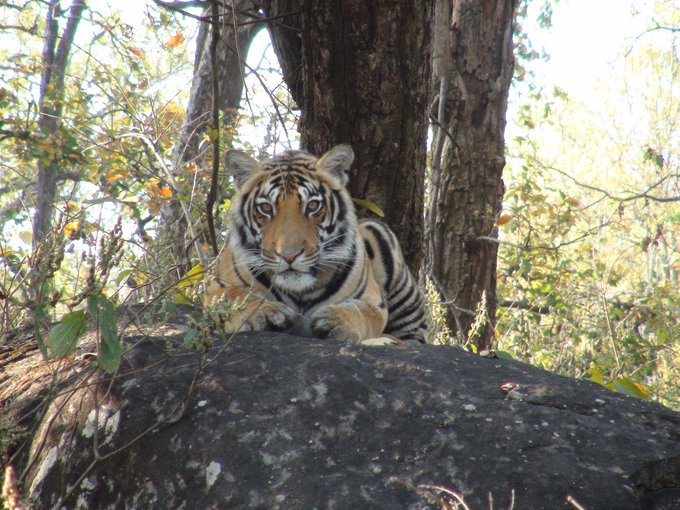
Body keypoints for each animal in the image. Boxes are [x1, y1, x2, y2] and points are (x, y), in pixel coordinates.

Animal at [205, 143, 428, 344]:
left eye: (312, 206)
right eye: (266, 208)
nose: (289, 255)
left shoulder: (374, 301)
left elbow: (364, 313)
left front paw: (338, 320)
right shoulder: (214, 288)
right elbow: (235, 295)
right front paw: (266, 310)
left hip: (378, 233)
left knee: (413, 338)